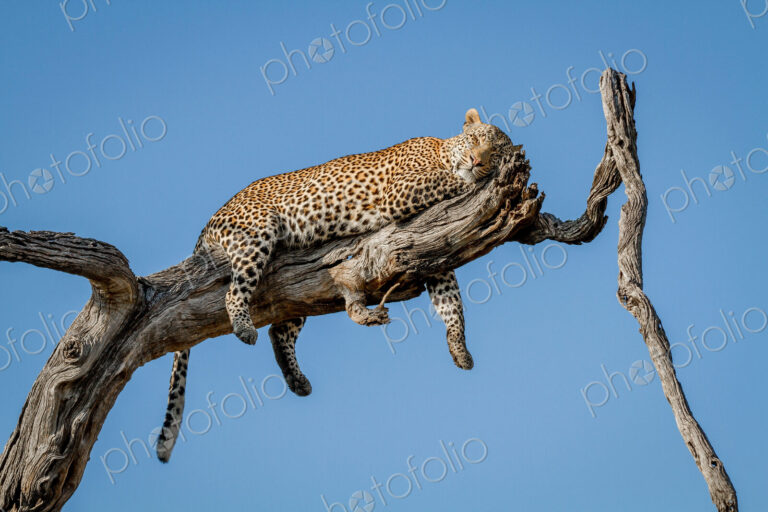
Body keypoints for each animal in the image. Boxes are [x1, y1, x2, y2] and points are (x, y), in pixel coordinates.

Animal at [156, 108, 515, 462]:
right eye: (476, 140)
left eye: (494, 152)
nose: (477, 161)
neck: (443, 150)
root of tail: (209, 221)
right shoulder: (402, 190)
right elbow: (452, 181)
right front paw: (472, 178)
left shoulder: (431, 248)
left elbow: (450, 301)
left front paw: (460, 349)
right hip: (257, 231)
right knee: (234, 293)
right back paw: (244, 328)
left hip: (295, 292)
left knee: (278, 330)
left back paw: (296, 379)